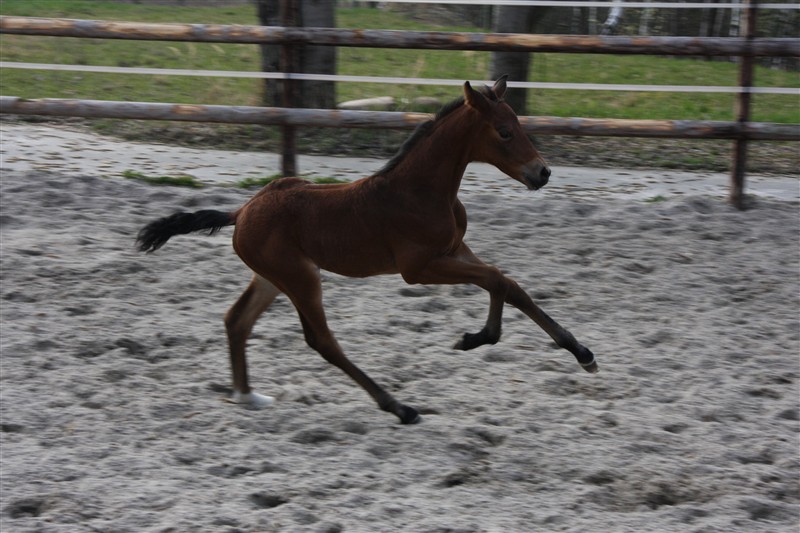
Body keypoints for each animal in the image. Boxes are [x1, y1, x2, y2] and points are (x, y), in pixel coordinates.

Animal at [138, 76, 596, 424]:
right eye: (503, 132)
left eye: (520, 125)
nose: (542, 173)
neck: (422, 191)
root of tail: (242, 210)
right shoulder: (418, 268)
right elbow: (497, 280)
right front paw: (476, 338)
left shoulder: (456, 249)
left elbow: (509, 283)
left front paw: (582, 353)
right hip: (299, 277)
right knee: (321, 339)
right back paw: (399, 407)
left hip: (271, 276)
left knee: (237, 321)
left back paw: (247, 396)